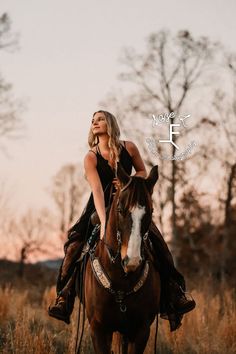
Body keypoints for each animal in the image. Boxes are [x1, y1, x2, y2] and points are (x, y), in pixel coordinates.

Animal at [83, 165, 160, 352]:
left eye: (151, 211)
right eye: (119, 209)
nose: (131, 261)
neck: (121, 280)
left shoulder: (141, 331)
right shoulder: (98, 330)